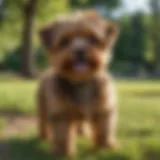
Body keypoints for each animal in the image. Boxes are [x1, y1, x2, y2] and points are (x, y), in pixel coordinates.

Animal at [37, 10, 119, 158]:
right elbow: (62, 135)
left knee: (81, 123)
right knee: (43, 122)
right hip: (42, 106)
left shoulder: (104, 108)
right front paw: (63, 152)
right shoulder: (61, 113)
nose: (79, 50)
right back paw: (43, 136)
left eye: (92, 38)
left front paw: (106, 147)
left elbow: (105, 129)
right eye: (64, 41)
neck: (81, 81)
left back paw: (82, 132)